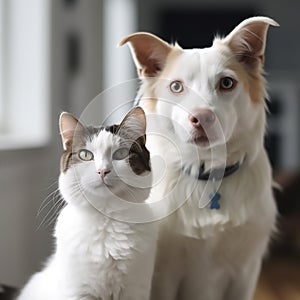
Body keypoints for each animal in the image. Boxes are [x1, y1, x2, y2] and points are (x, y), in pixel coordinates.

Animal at [17, 107, 157, 300]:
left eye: (121, 154)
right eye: (85, 155)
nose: (103, 171)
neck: (106, 219)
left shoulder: (136, 289)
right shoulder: (78, 291)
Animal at [119, 16, 278, 300]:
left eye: (227, 83)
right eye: (176, 86)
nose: (202, 117)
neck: (207, 171)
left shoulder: (246, 272)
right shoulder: (164, 274)